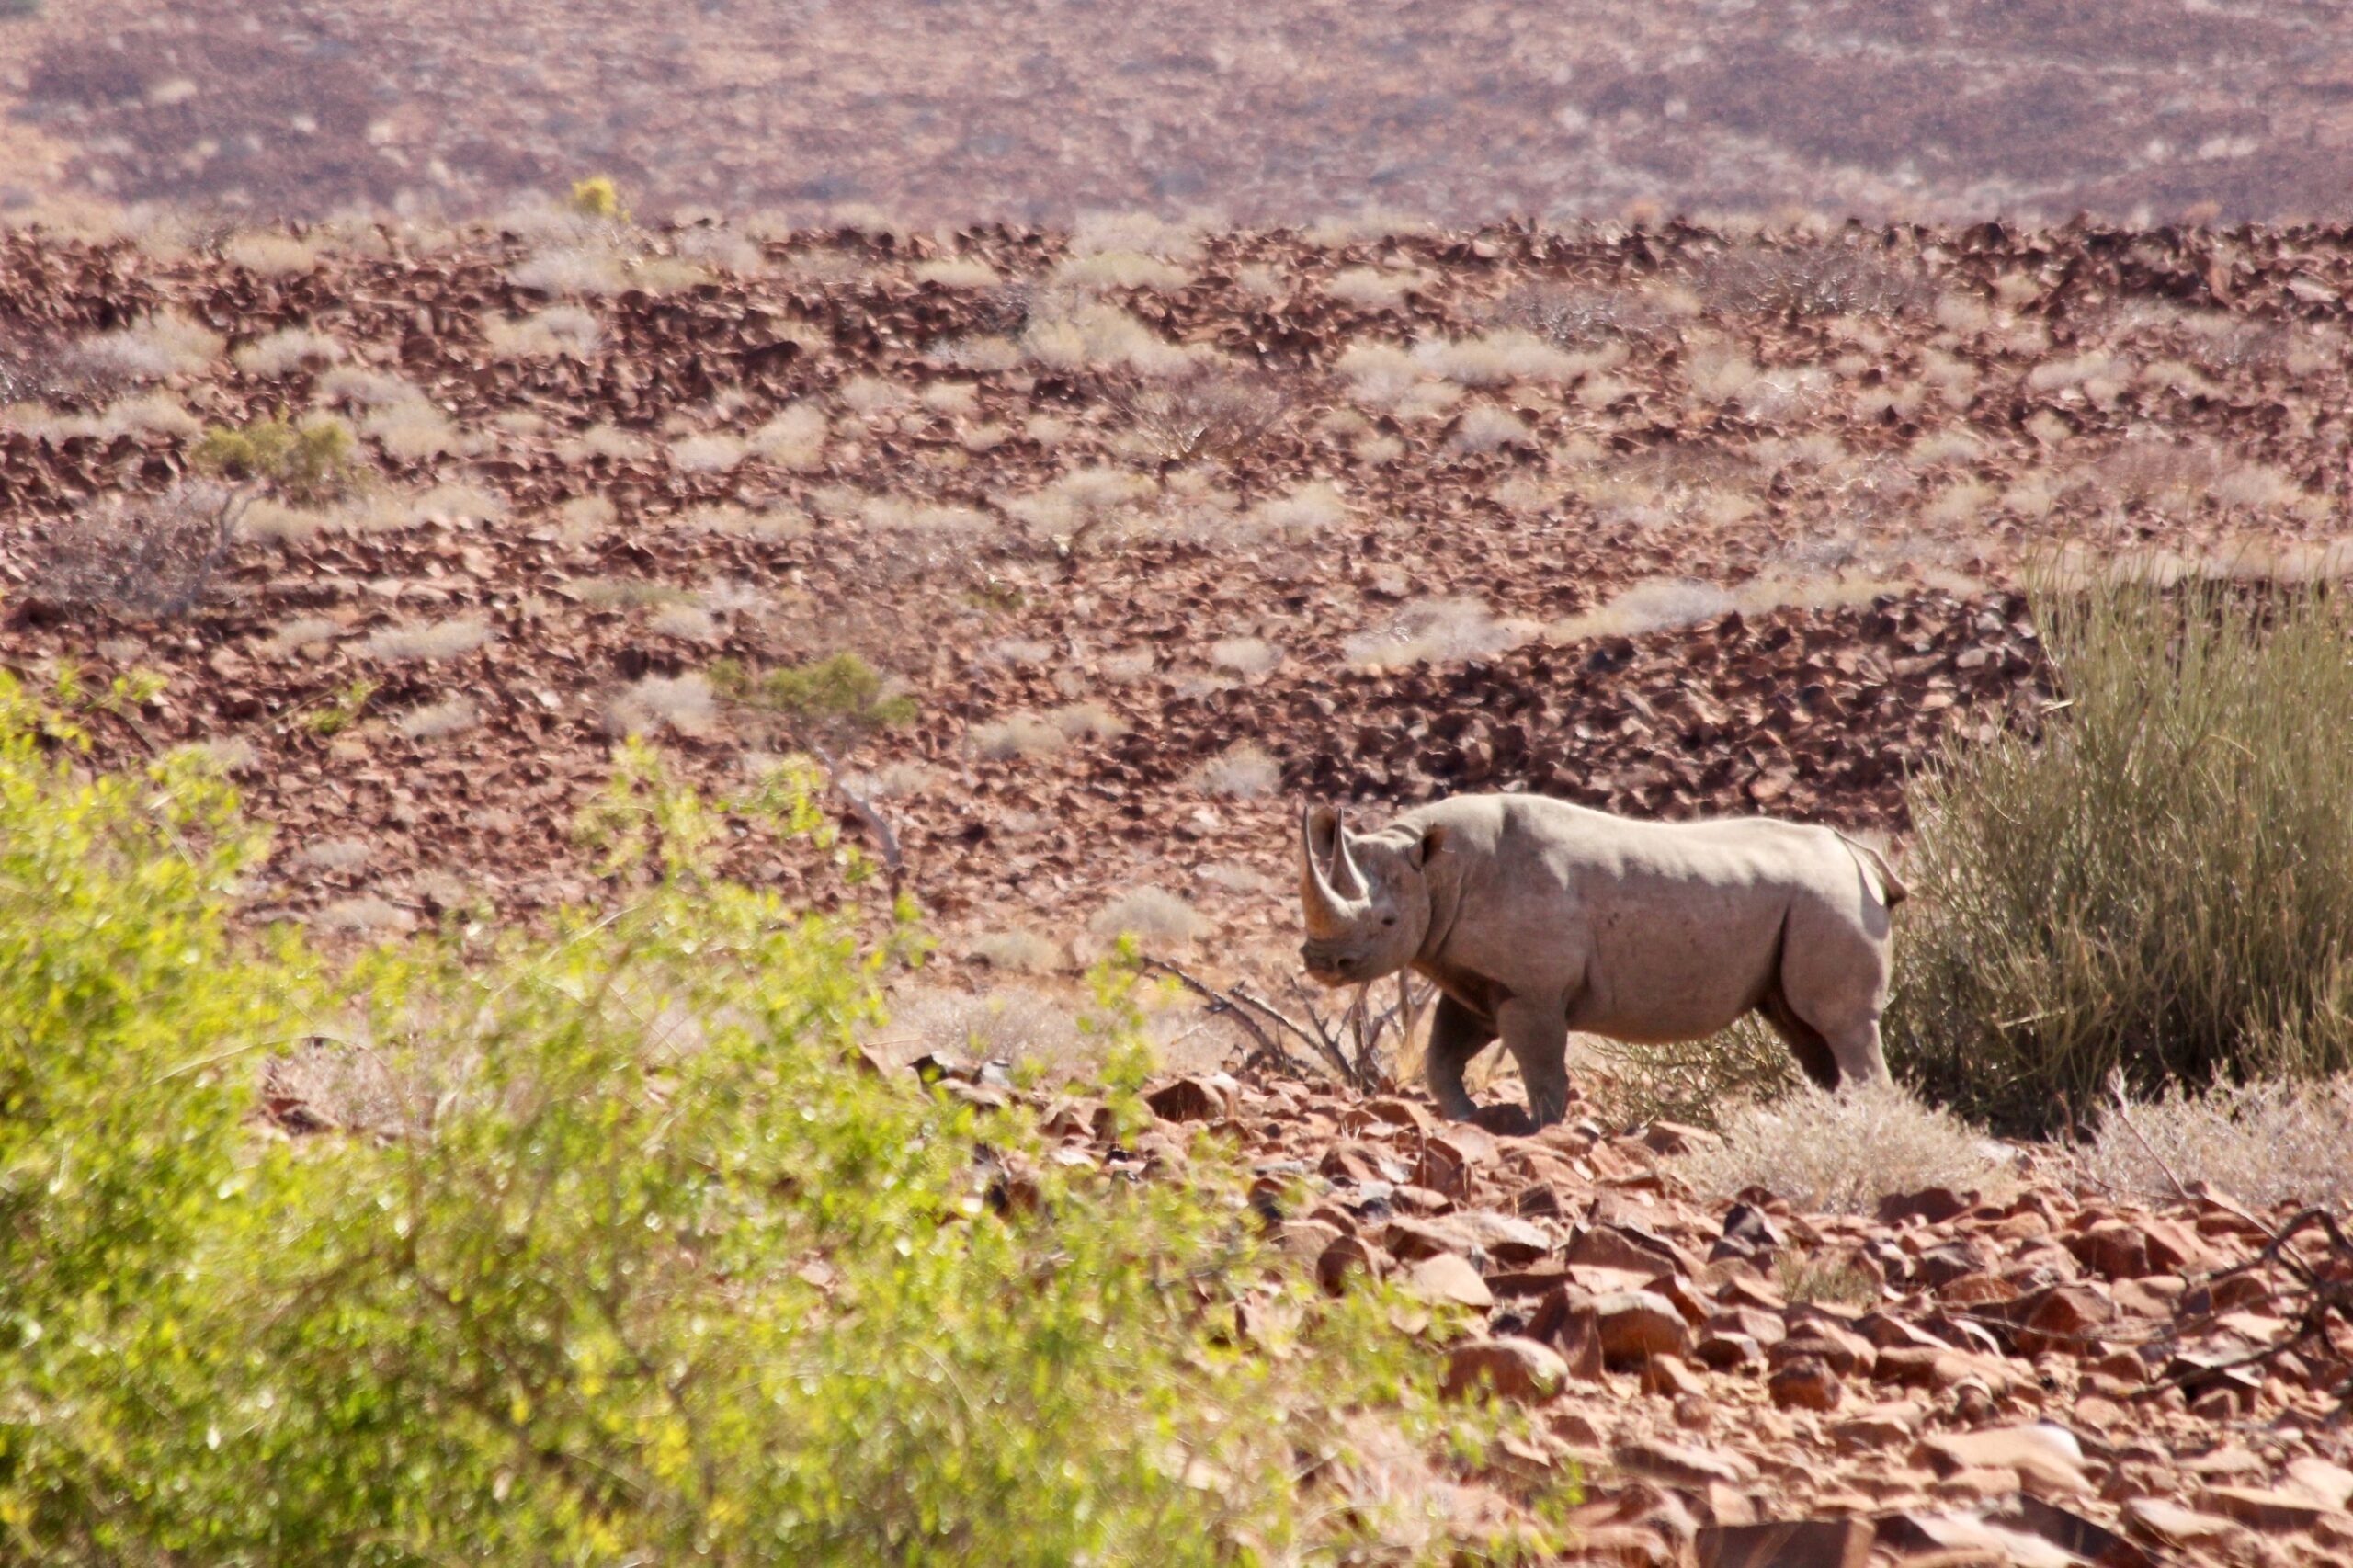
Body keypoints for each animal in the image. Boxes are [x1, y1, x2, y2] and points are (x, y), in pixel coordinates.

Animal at [1296, 792, 1906, 1125]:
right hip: (1811, 903)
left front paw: (1536, 1129)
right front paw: (1469, 1118)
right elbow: (1442, 1058)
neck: (1436, 869)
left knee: (1841, 1025)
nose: (1320, 962)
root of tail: (1857, 856)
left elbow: (1543, 1071)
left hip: (1831, 900)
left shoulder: (1533, 991)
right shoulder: (1476, 980)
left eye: (1387, 923)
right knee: (1805, 1033)